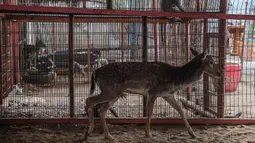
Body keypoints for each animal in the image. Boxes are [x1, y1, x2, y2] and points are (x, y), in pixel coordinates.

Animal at [83, 48, 221, 141]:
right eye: (211, 61)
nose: (220, 73)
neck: (176, 79)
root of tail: (95, 72)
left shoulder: (168, 95)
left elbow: (181, 110)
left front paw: (192, 133)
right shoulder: (153, 92)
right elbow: (149, 113)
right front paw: (148, 134)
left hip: (115, 93)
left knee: (101, 109)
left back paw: (108, 135)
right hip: (111, 90)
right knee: (89, 100)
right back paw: (89, 131)